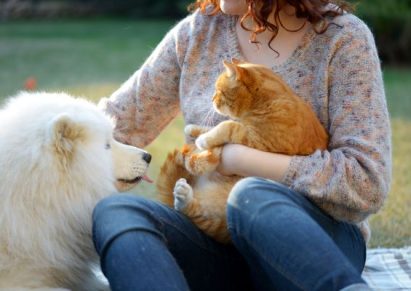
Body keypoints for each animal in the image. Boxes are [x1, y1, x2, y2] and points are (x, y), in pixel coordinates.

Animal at [156, 60, 330, 244]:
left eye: (219, 91)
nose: (212, 99)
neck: (270, 100)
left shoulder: (259, 141)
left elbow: (228, 125)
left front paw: (203, 140)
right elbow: (217, 126)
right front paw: (194, 130)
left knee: (197, 212)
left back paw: (184, 197)